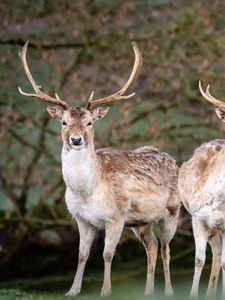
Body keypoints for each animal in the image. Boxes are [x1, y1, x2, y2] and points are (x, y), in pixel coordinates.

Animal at [18, 41, 180, 296]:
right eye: (63, 122)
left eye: (89, 122)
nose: (75, 140)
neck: (87, 191)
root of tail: (173, 159)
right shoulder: (82, 219)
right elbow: (82, 254)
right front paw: (72, 290)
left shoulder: (116, 217)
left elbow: (107, 254)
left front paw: (105, 291)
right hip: (141, 222)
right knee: (152, 247)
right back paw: (148, 291)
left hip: (172, 213)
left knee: (166, 249)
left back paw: (169, 291)